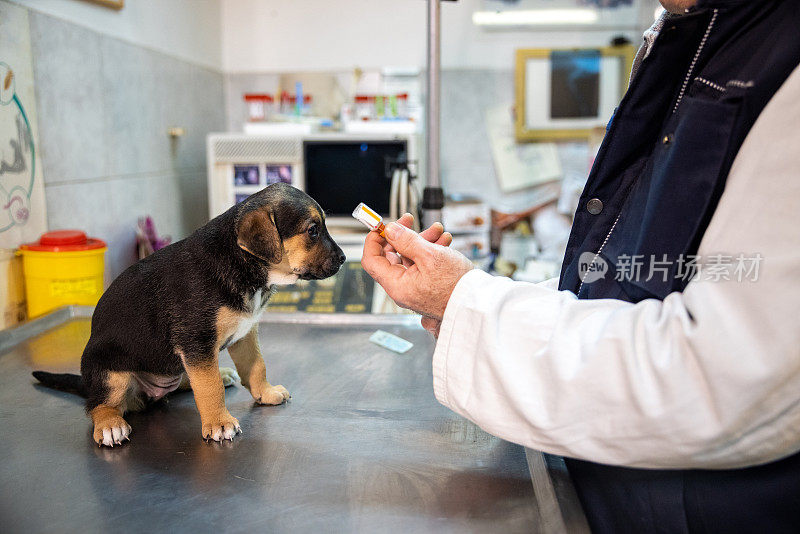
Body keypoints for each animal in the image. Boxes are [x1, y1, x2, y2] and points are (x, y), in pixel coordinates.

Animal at [32, 184, 344, 448]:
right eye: (313, 230)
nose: (342, 259)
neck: (243, 263)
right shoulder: (197, 341)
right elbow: (208, 387)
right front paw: (219, 423)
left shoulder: (245, 334)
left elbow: (256, 366)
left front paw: (265, 392)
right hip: (109, 372)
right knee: (99, 404)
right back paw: (110, 424)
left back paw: (218, 373)